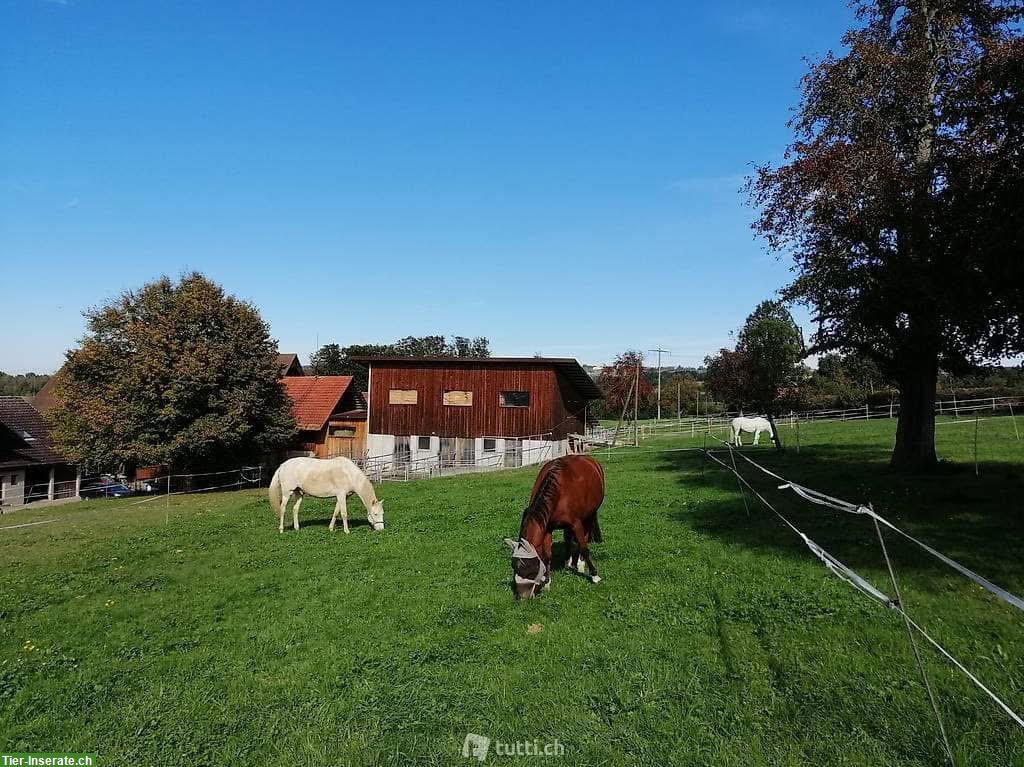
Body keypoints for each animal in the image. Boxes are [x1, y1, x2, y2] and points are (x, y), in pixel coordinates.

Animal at [501, 454, 602, 598]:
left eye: (531, 568)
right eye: (514, 567)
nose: (523, 597)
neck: (559, 491)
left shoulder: (576, 523)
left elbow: (583, 547)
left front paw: (594, 575)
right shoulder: (547, 527)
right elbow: (547, 555)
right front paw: (547, 582)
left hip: (589, 515)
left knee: (584, 537)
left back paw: (580, 564)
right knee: (568, 538)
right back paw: (568, 562)